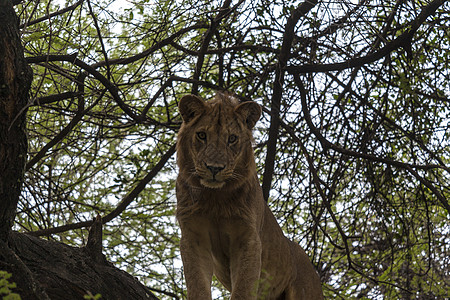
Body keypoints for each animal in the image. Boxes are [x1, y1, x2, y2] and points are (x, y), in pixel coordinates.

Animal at [176, 92, 324, 298]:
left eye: (232, 138)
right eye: (202, 135)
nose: (214, 168)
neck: (214, 198)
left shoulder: (248, 239)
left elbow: (243, 288)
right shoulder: (193, 237)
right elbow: (197, 284)